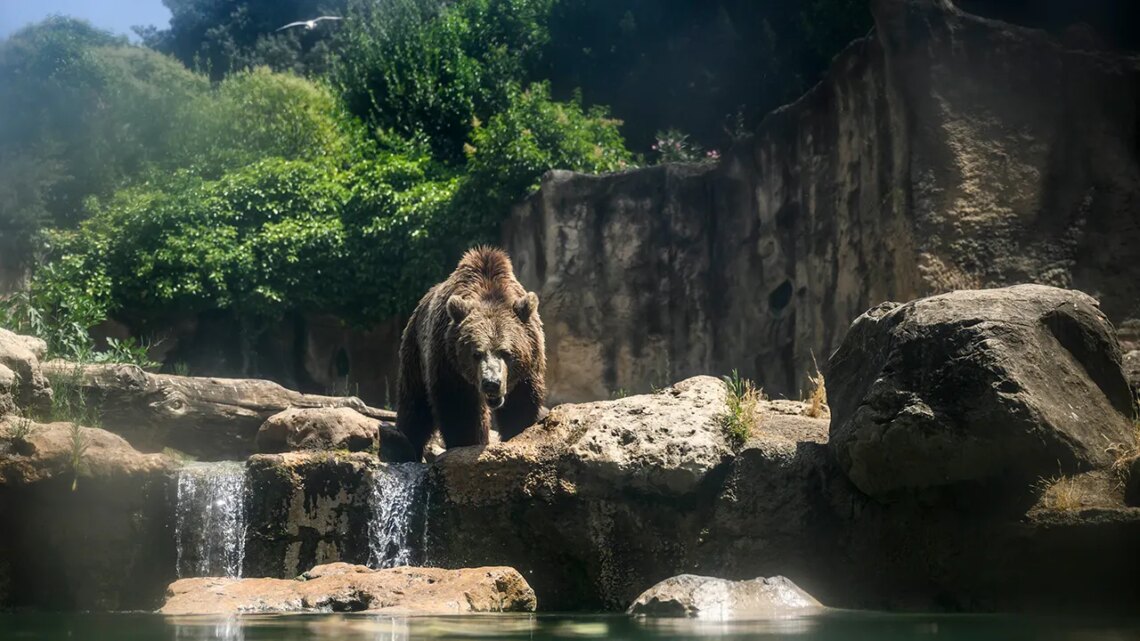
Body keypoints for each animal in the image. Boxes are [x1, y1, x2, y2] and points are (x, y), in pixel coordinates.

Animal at [395, 246, 546, 460]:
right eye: (476, 353)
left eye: (506, 352)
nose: (492, 383)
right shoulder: (448, 363)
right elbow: (460, 410)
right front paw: (467, 444)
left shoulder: (528, 366)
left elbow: (521, 404)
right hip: (414, 350)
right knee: (415, 406)